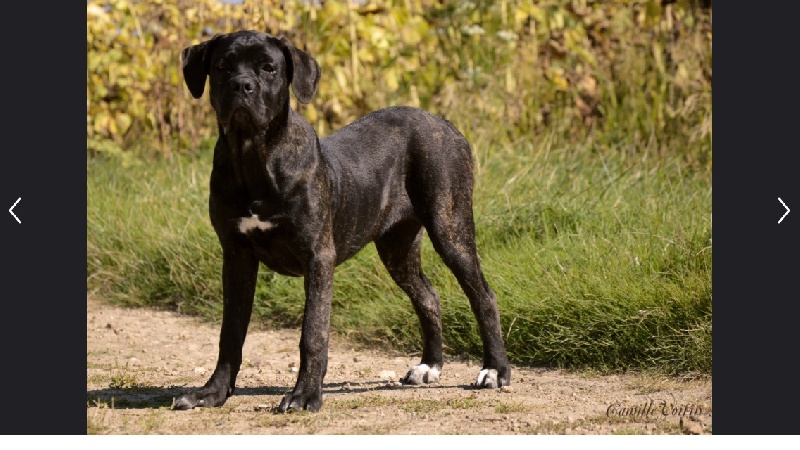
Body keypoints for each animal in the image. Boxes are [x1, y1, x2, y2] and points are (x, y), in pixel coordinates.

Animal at [177, 30, 510, 412]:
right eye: (221, 66)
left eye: (269, 68)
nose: (242, 85)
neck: (253, 158)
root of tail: (445, 123)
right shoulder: (236, 256)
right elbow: (230, 333)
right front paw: (212, 392)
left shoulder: (318, 256)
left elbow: (313, 332)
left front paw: (305, 394)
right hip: (397, 247)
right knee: (428, 296)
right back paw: (429, 366)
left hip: (450, 227)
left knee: (483, 295)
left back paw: (495, 371)